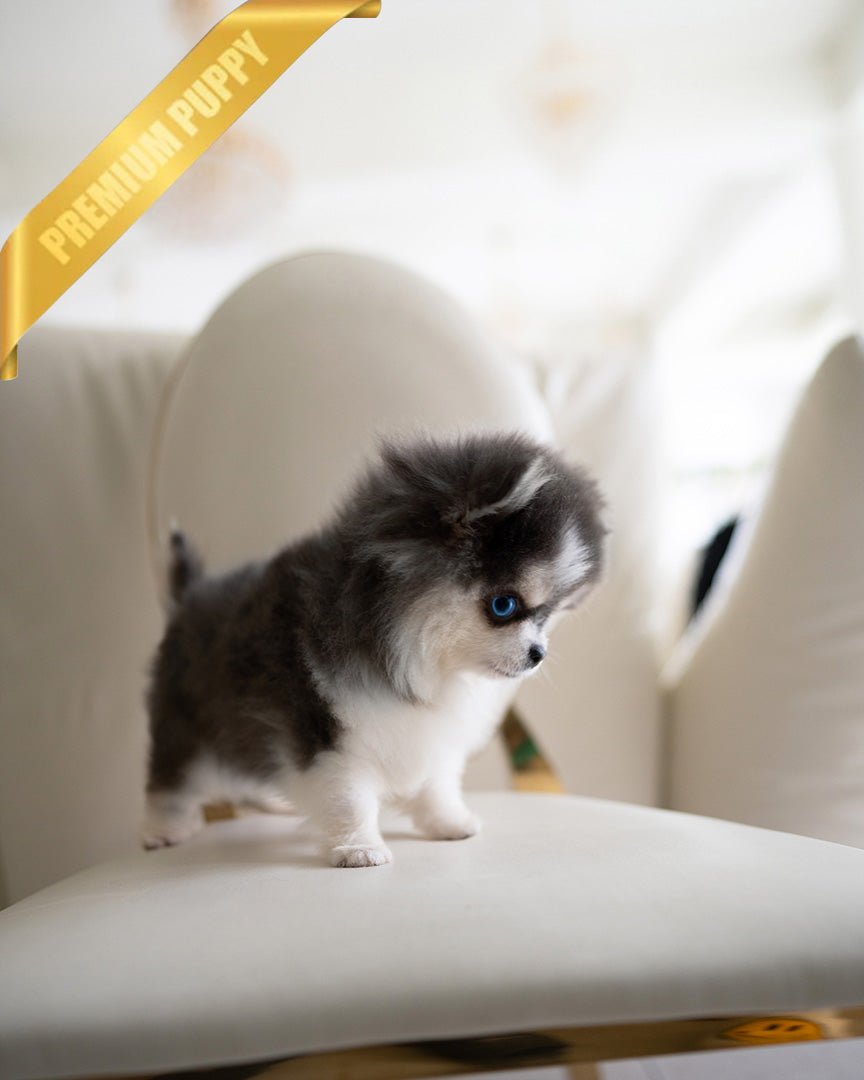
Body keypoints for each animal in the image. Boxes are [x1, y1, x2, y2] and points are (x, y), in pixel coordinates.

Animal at [142, 431, 606, 867]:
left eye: (545, 616)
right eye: (503, 605)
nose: (537, 653)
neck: (412, 651)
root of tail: (189, 595)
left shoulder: (428, 732)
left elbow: (437, 783)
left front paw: (449, 823)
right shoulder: (331, 733)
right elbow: (348, 797)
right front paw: (359, 848)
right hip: (184, 722)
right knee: (170, 778)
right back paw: (165, 829)